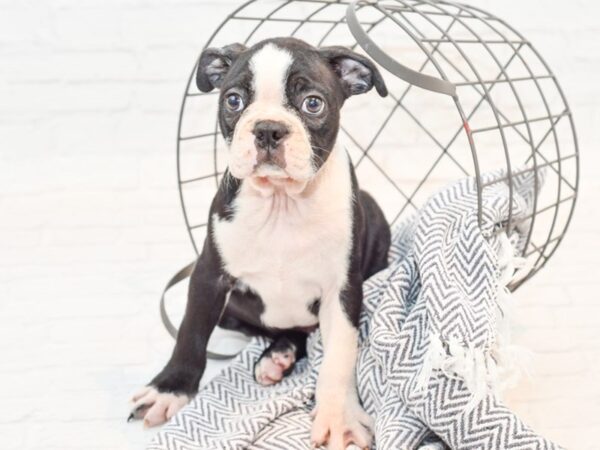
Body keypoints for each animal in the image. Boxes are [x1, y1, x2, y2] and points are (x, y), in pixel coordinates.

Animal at [131, 38, 392, 450]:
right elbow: (191, 333)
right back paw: (277, 355)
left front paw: (338, 417)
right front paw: (169, 389)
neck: (281, 203)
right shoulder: (208, 277)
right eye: (234, 100)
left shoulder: (342, 291)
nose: (269, 129)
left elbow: (338, 357)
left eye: (312, 103)